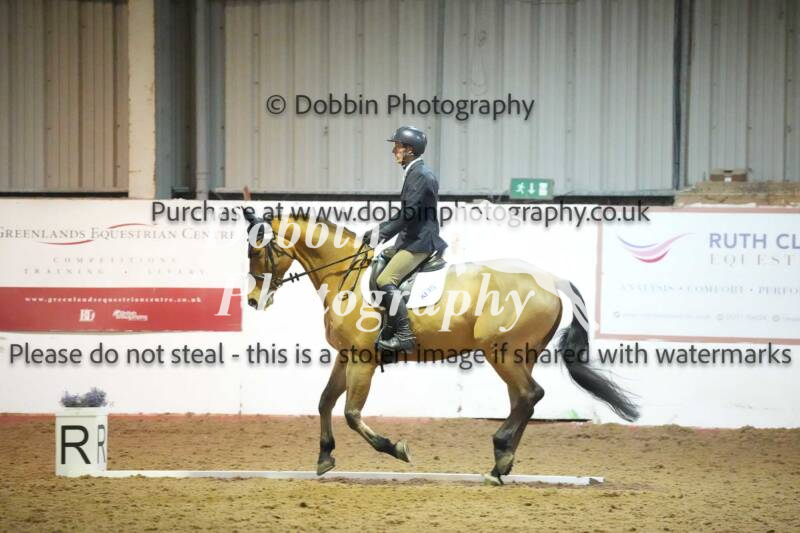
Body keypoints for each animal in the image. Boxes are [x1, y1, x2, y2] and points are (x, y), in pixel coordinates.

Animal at [244, 213, 639, 484]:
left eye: (257, 251)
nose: (251, 300)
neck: (346, 278)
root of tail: (549, 279)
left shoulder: (362, 359)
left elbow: (352, 414)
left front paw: (396, 449)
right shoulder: (345, 357)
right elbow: (325, 402)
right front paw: (325, 457)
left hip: (502, 352)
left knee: (529, 394)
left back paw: (500, 457)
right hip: (520, 355)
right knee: (523, 399)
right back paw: (501, 463)